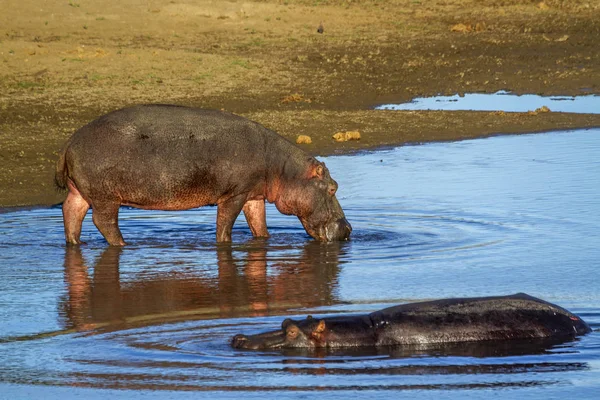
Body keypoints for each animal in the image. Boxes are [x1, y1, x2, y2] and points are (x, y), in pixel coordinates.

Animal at [55, 104, 352, 245]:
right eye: (333, 187)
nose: (349, 228)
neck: (283, 168)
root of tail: (69, 141)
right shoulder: (234, 194)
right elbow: (225, 224)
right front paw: (224, 243)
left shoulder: (253, 195)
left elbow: (259, 224)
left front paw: (263, 241)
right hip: (105, 197)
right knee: (104, 222)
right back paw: (124, 244)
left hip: (80, 192)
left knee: (71, 213)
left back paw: (77, 243)